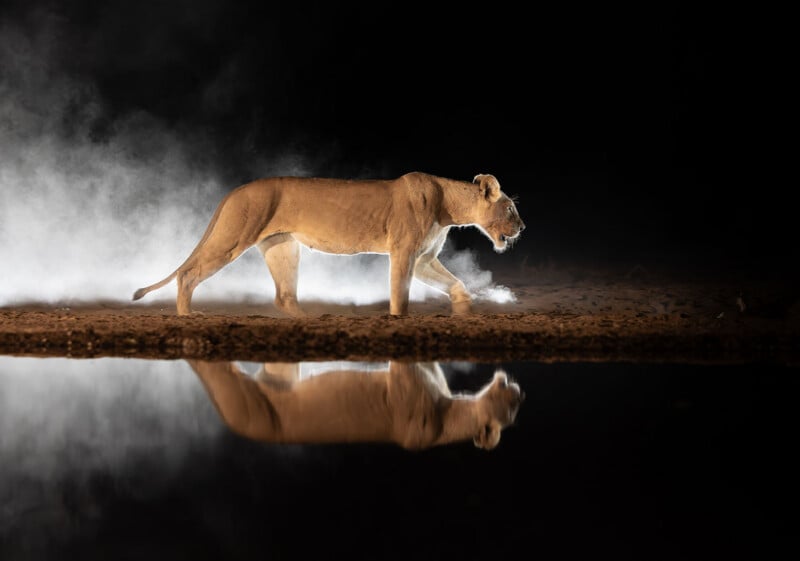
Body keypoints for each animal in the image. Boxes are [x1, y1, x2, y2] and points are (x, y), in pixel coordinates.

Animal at [132, 172, 524, 316]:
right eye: (509, 207)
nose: (522, 226)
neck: (447, 206)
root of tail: (236, 191)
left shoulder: (425, 259)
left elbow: (455, 283)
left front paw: (464, 310)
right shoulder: (404, 251)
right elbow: (400, 293)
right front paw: (398, 319)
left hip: (282, 247)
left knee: (284, 296)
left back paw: (310, 321)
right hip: (233, 236)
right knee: (189, 274)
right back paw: (188, 315)